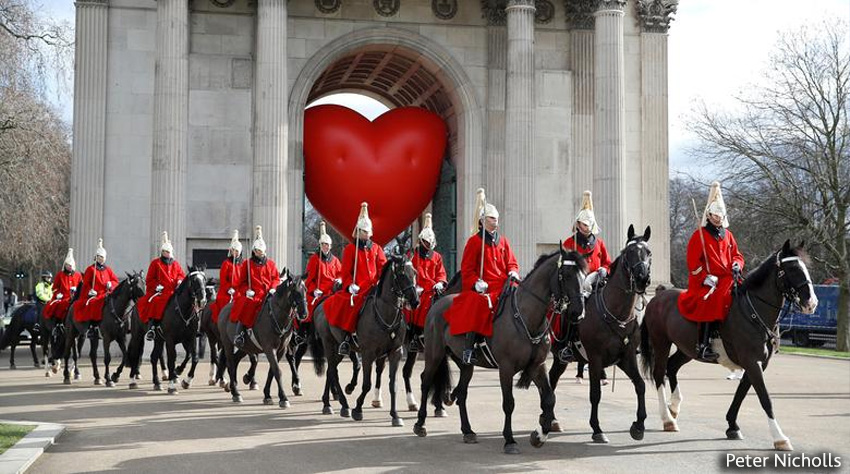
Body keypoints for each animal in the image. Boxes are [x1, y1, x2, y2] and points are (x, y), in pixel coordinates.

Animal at [217, 268, 306, 406]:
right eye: (296, 292)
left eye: (305, 290)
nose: (304, 314)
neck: (276, 317)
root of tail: (225, 308)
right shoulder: (269, 348)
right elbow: (277, 371)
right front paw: (283, 398)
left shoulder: (281, 349)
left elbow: (272, 371)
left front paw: (267, 395)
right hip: (228, 344)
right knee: (230, 363)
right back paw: (236, 393)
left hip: (246, 347)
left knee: (236, 360)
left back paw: (236, 385)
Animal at [310, 256, 420, 426]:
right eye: (402, 273)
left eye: (414, 272)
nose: (415, 301)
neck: (385, 313)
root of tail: (322, 301)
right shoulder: (368, 354)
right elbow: (367, 384)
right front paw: (357, 409)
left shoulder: (395, 352)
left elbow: (393, 384)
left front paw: (395, 415)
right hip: (329, 344)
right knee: (333, 371)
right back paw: (343, 405)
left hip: (340, 349)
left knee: (330, 371)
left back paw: (327, 403)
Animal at [548, 225, 648, 440]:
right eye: (629, 252)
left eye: (648, 252)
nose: (643, 278)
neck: (616, 313)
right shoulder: (595, 359)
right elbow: (595, 395)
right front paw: (597, 428)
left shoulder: (626, 358)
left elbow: (640, 385)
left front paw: (639, 425)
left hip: (560, 359)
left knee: (552, 378)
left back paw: (551, 419)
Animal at [644, 241, 816, 452]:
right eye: (791, 269)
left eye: (805, 268)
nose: (811, 303)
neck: (753, 312)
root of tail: (659, 295)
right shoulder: (752, 362)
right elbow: (765, 399)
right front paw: (779, 437)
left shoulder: (758, 364)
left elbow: (741, 393)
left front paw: (732, 426)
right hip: (661, 343)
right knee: (659, 374)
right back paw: (667, 419)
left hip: (687, 350)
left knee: (672, 366)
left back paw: (674, 406)